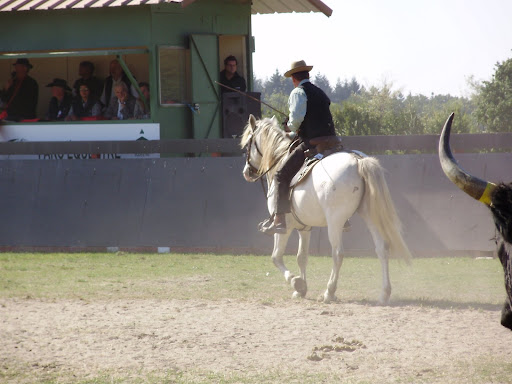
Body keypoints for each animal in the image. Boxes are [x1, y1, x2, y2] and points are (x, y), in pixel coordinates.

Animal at [241, 115, 412, 304]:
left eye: (248, 145)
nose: (246, 172)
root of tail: (358, 160)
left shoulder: (285, 226)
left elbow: (276, 256)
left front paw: (296, 283)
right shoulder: (304, 227)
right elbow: (302, 257)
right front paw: (301, 289)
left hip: (335, 221)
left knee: (338, 254)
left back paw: (329, 292)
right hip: (370, 215)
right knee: (382, 248)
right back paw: (384, 293)